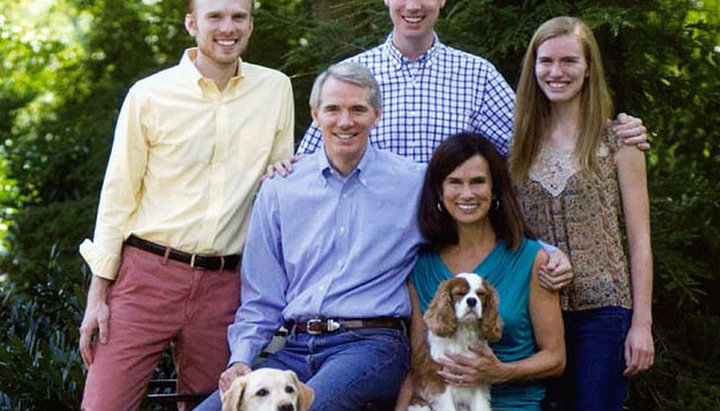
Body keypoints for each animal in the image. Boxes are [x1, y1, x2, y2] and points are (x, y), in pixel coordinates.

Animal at [408, 274, 504, 411]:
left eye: (480, 294)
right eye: (459, 293)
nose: (471, 300)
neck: (464, 331)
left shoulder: (478, 379)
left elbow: (480, 405)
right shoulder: (440, 382)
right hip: (420, 405)